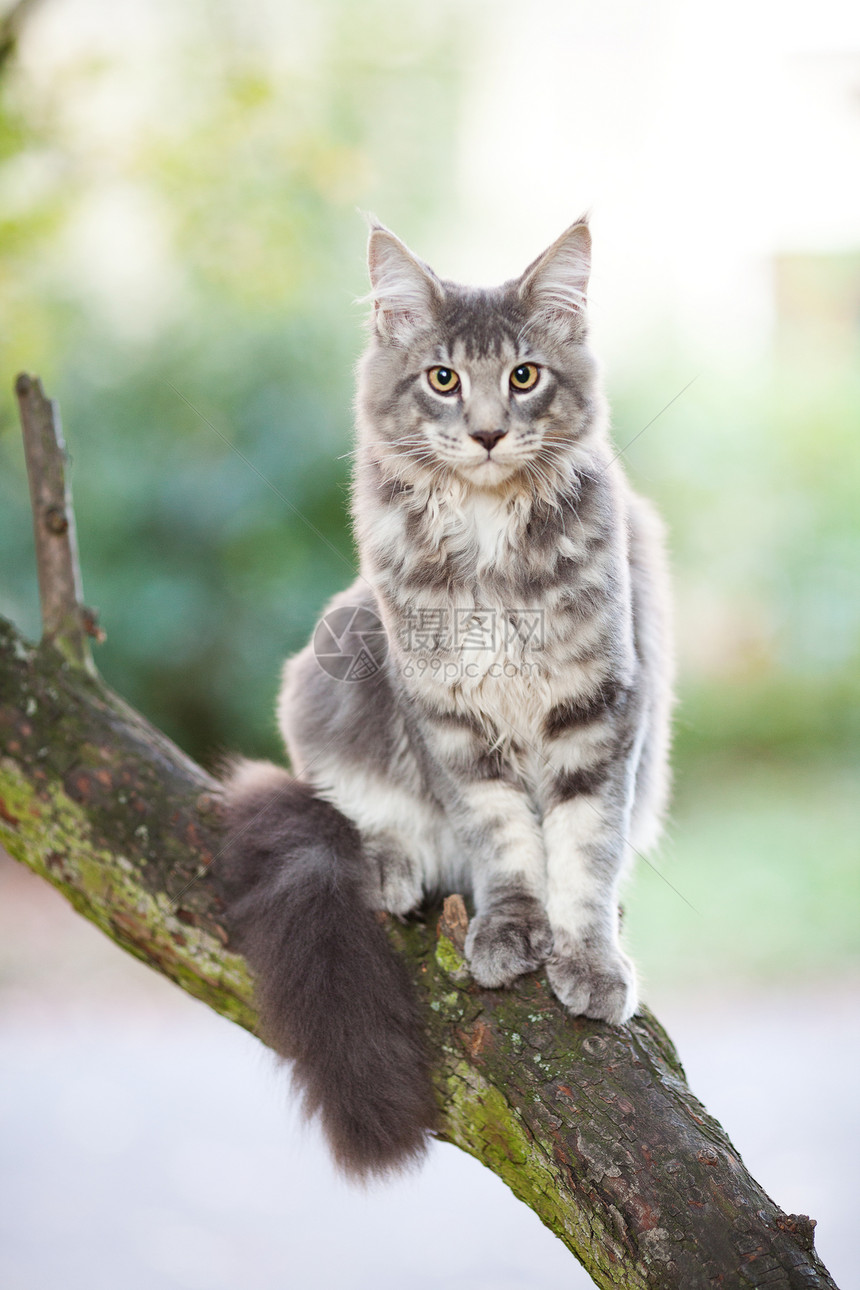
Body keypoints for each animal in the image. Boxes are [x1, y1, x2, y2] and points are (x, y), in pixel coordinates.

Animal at [219, 219, 675, 1181]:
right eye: (442, 379)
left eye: (525, 376)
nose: (491, 433)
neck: (492, 537)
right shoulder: (448, 715)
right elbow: (501, 836)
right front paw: (508, 927)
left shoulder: (602, 707)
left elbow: (584, 849)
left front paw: (589, 959)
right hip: (335, 658)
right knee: (357, 802)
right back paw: (391, 864)